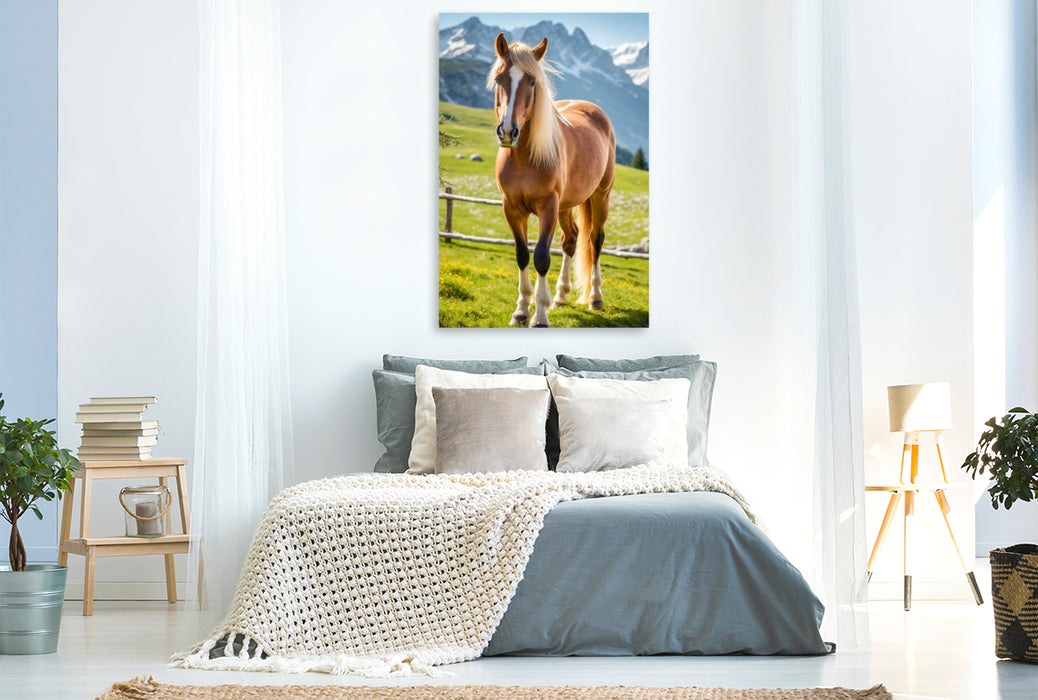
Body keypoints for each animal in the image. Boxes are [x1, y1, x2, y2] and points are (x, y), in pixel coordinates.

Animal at [488, 32, 616, 328]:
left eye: (532, 81)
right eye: (499, 79)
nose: (507, 132)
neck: (523, 158)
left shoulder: (548, 207)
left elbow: (542, 257)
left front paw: (540, 316)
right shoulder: (511, 208)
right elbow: (522, 254)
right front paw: (521, 310)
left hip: (600, 196)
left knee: (595, 240)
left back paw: (595, 298)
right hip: (566, 205)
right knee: (571, 239)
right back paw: (560, 295)